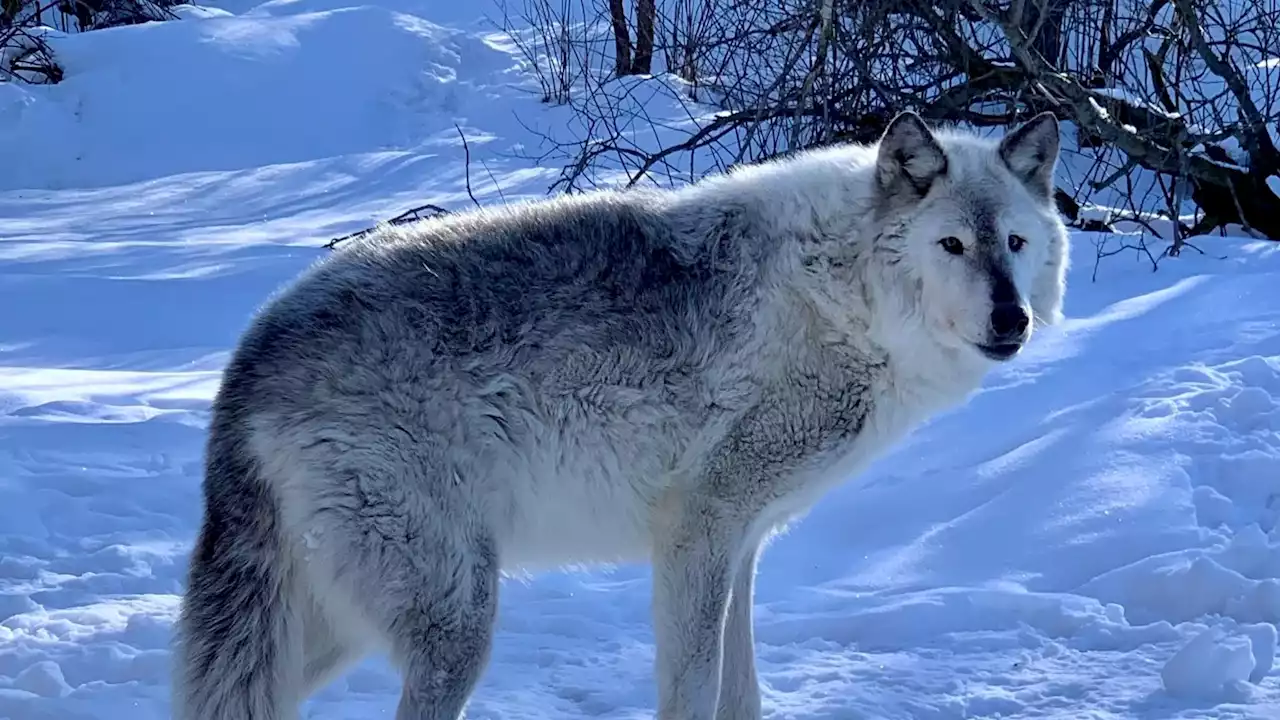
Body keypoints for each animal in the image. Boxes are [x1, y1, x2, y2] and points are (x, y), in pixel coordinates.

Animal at [172, 110, 1070, 717]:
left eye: (1015, 244)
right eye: (952, 245)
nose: (1012, 319)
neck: (846, 299)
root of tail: (252, 351)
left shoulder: (741, 543)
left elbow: (742, 694)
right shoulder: (696, 536)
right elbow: (694, 694)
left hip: (334, 625)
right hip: (455, 620)